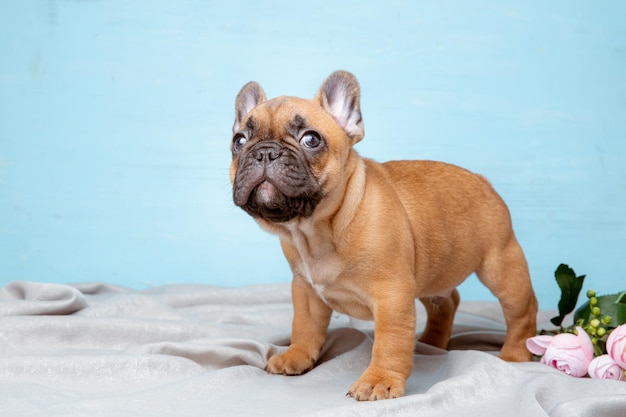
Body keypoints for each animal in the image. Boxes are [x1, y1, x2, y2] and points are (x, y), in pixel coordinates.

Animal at [229, 70, 536, 400]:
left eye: (311, 139)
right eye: (239, 141)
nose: (264, 152)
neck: (317, 230)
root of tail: (483, 181)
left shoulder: (393, 295)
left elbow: (390, 343)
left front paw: (380, 380)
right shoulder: (306, 290)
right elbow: (305, 326)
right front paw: (296, 356)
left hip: (501, 266)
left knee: (522, 309)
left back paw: (515, 354)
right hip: (430, 272)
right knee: (447, 301)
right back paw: (431, 343)